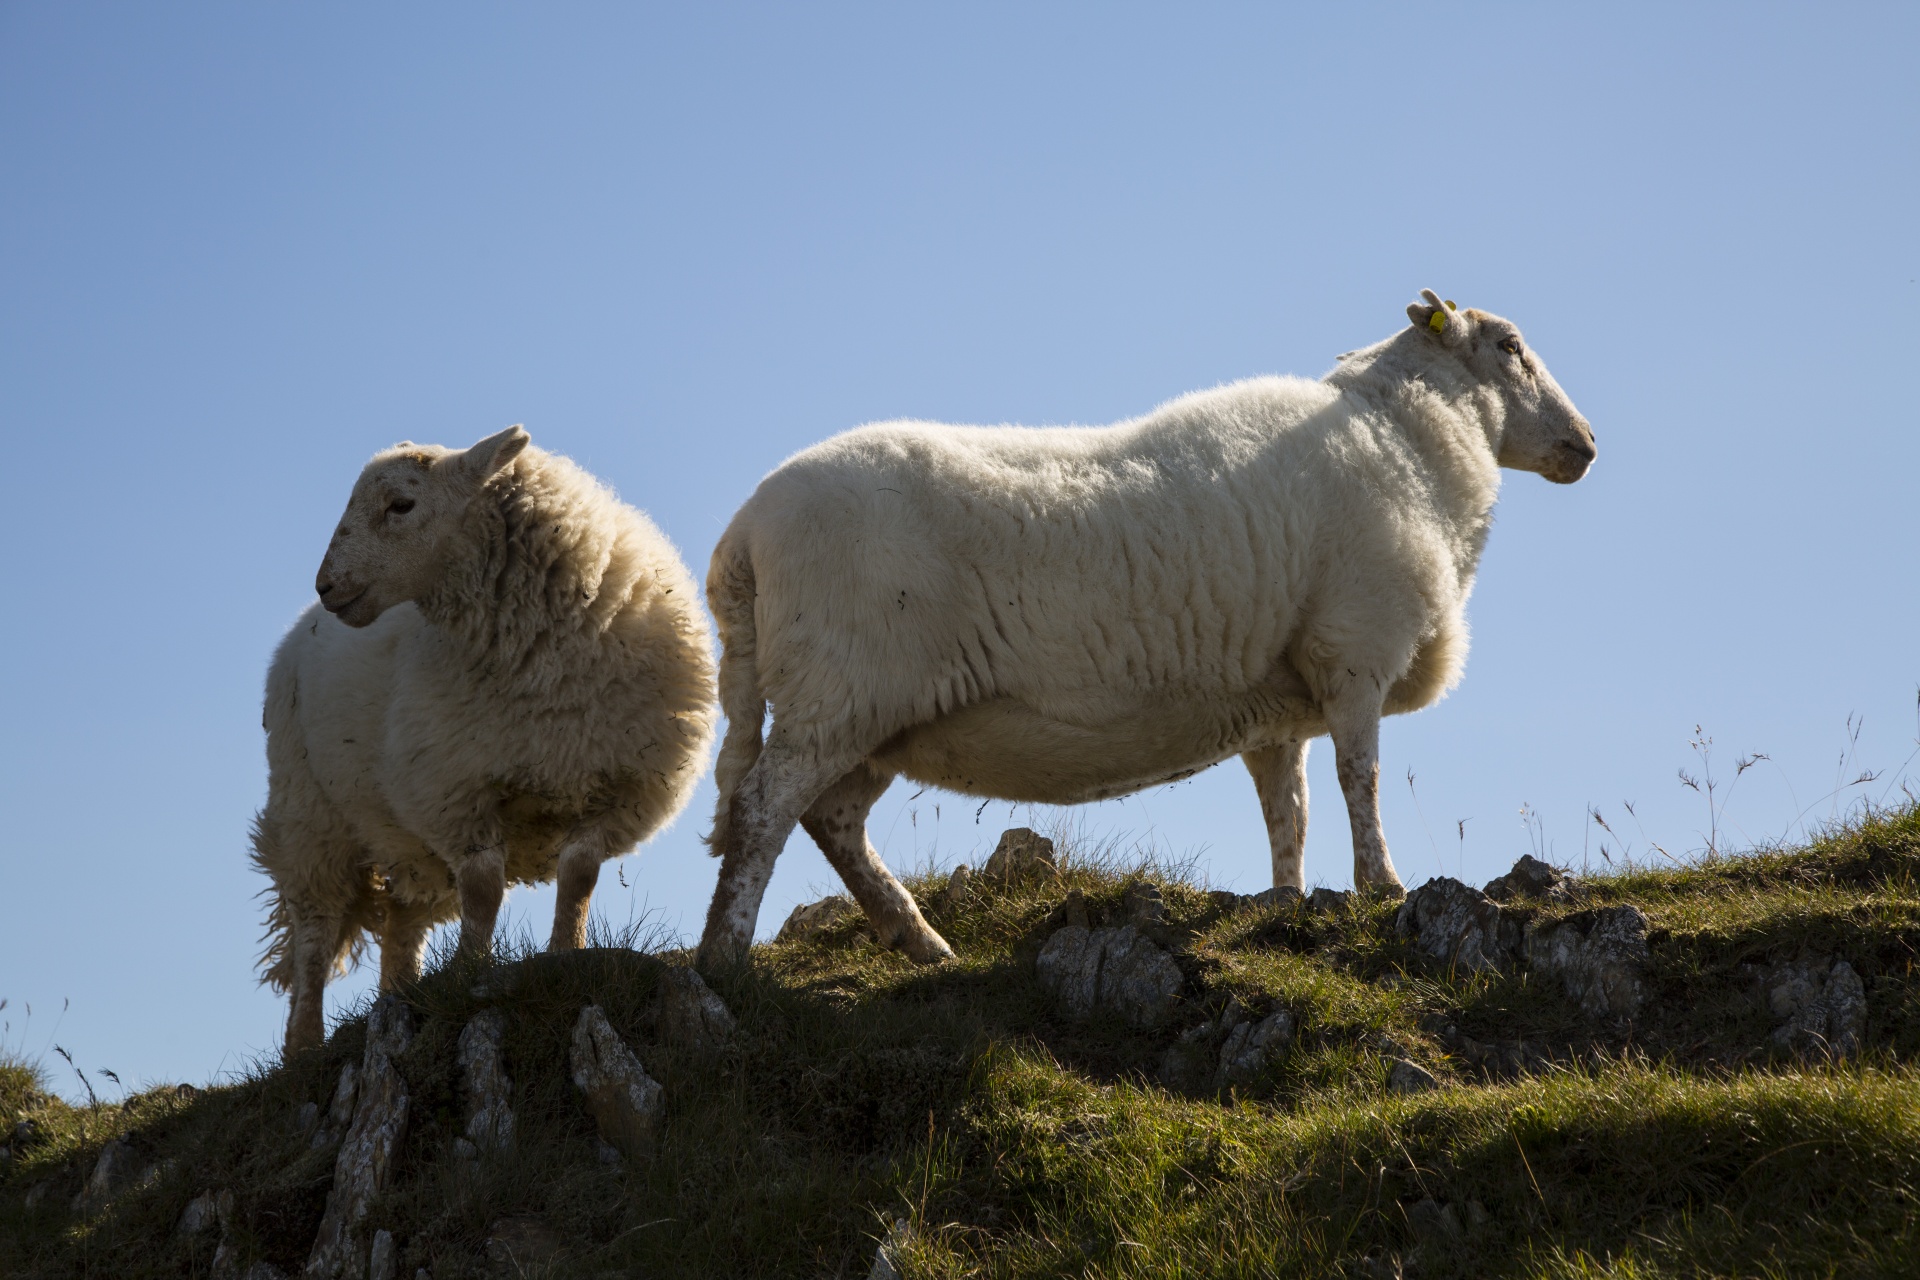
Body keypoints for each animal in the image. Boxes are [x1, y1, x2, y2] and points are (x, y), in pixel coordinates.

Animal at [247, 427, 714, 1051]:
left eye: (401, 504)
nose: (327, 586)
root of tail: (298, 630)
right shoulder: (456, 787)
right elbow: (484, 888)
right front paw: (471, 971)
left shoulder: (618, 786)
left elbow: (579, 875)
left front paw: (565, 954)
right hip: (310, 814)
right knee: (314, 934)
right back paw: (304, 1044)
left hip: (400, 835)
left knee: (402, 922)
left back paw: (399, 997)